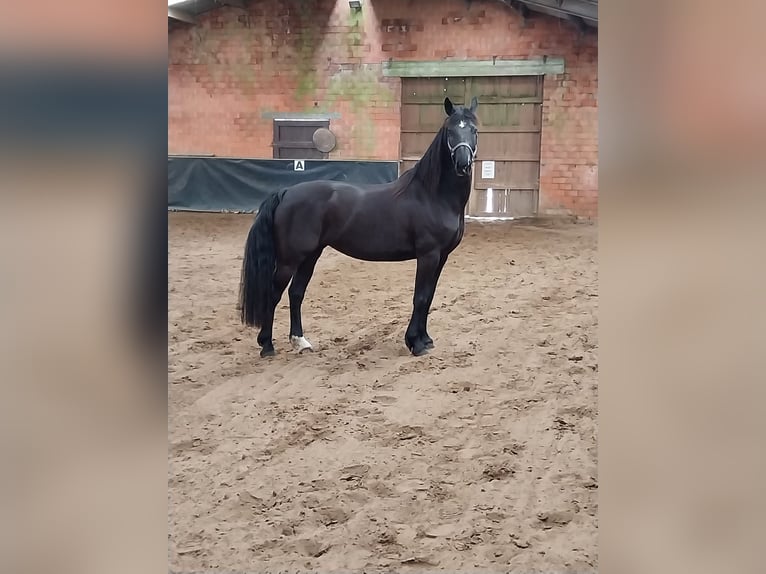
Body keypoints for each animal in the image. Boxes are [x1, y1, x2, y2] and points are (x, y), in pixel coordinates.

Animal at [240, 97, 480, 358]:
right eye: (450, 131)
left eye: (474, 130)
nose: (463, 164)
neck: (431, 195)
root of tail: (285, 192)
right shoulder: (428, 255)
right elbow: (421, 297)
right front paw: (415, 344)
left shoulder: (441, 256)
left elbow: (429, 297)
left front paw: (425, 339)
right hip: (289, 260)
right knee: (274, 294)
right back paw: (267, 345)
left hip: (310, 255)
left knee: (296, 293)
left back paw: (300, 341)